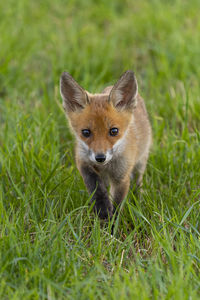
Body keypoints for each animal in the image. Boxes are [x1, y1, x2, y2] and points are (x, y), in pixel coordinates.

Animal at [59, 70, 152, 220]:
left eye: (114, 131)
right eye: (86, 132)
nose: (100, 158)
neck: (106, 167)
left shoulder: (121, 177)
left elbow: (117, 204)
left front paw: (112, 223)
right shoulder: (83, 162)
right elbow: (96, 187)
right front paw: (102, 210)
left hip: (140, 162)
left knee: (138, 181)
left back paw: (138, 197)